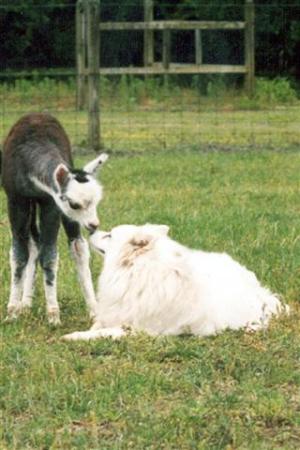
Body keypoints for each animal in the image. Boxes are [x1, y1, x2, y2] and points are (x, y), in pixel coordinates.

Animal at [62, 225, 288, 342]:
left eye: (109, 235)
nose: (91, 229)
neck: (137, 269)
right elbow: (98, 324)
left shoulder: (138, 329)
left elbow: (105, 332)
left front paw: (73, 336)